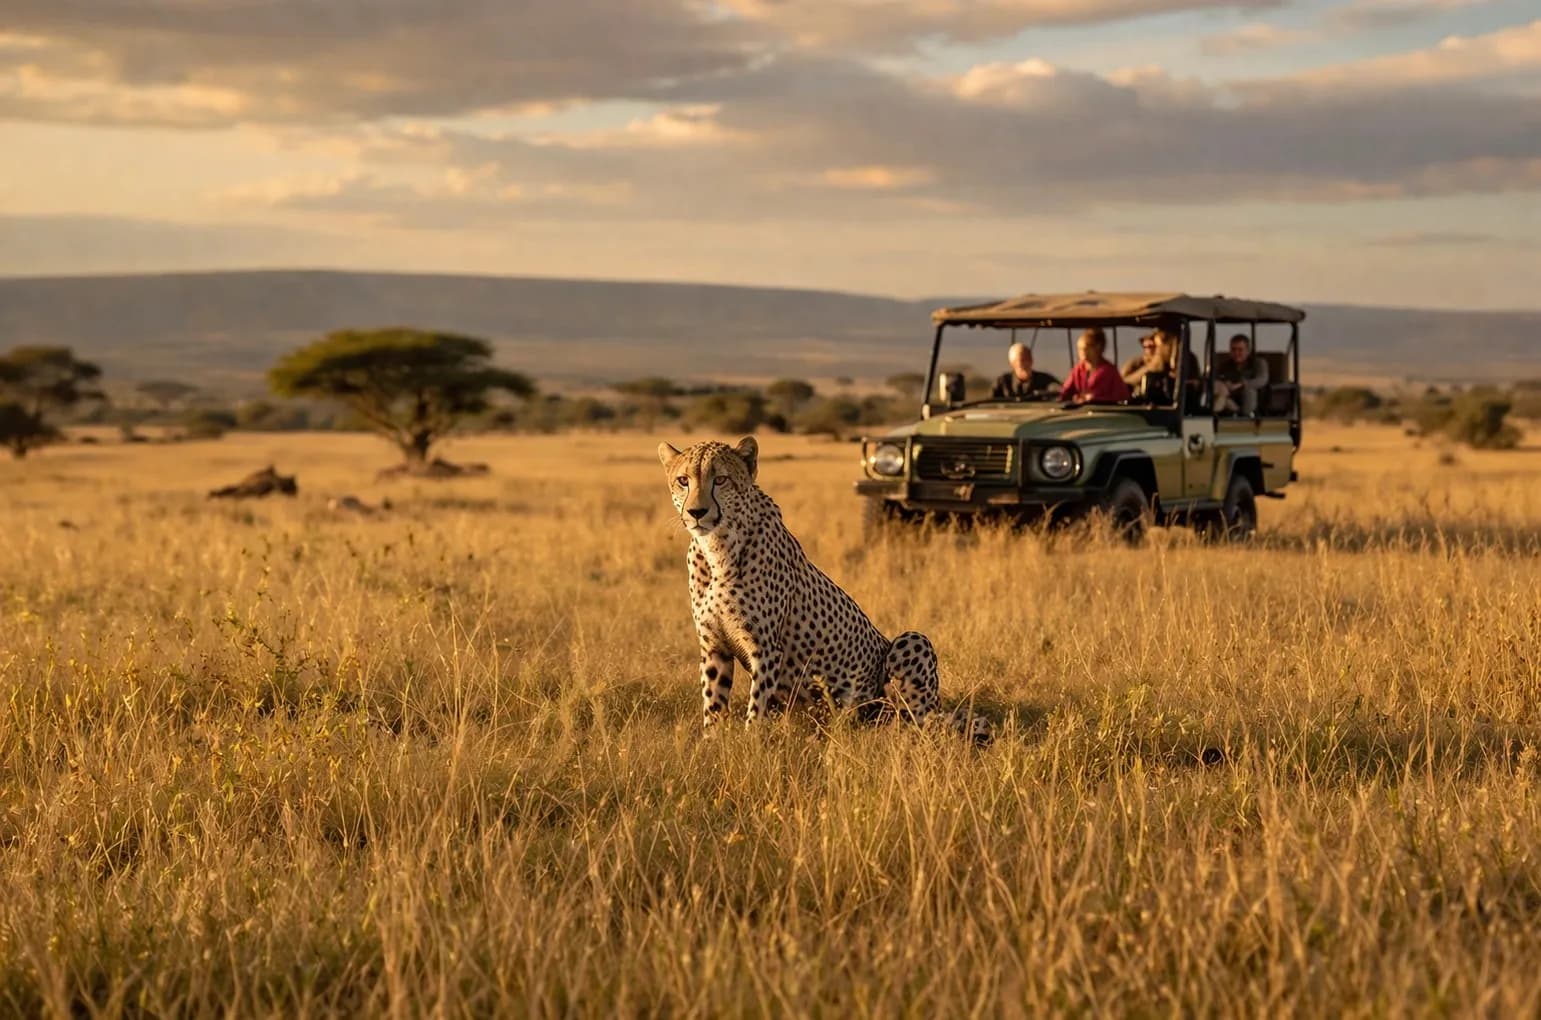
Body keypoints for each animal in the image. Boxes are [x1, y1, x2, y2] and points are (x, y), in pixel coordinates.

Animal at [657, 436, 990, 744]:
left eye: (721, 479)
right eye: (683, 481)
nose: (697, 512)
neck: (716, 547)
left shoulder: (765, 649)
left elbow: (757, 704)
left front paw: (751, 744)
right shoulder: (714, 647)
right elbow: (713, 704)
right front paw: (710, 745)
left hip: (910, 649)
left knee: (921, 721)